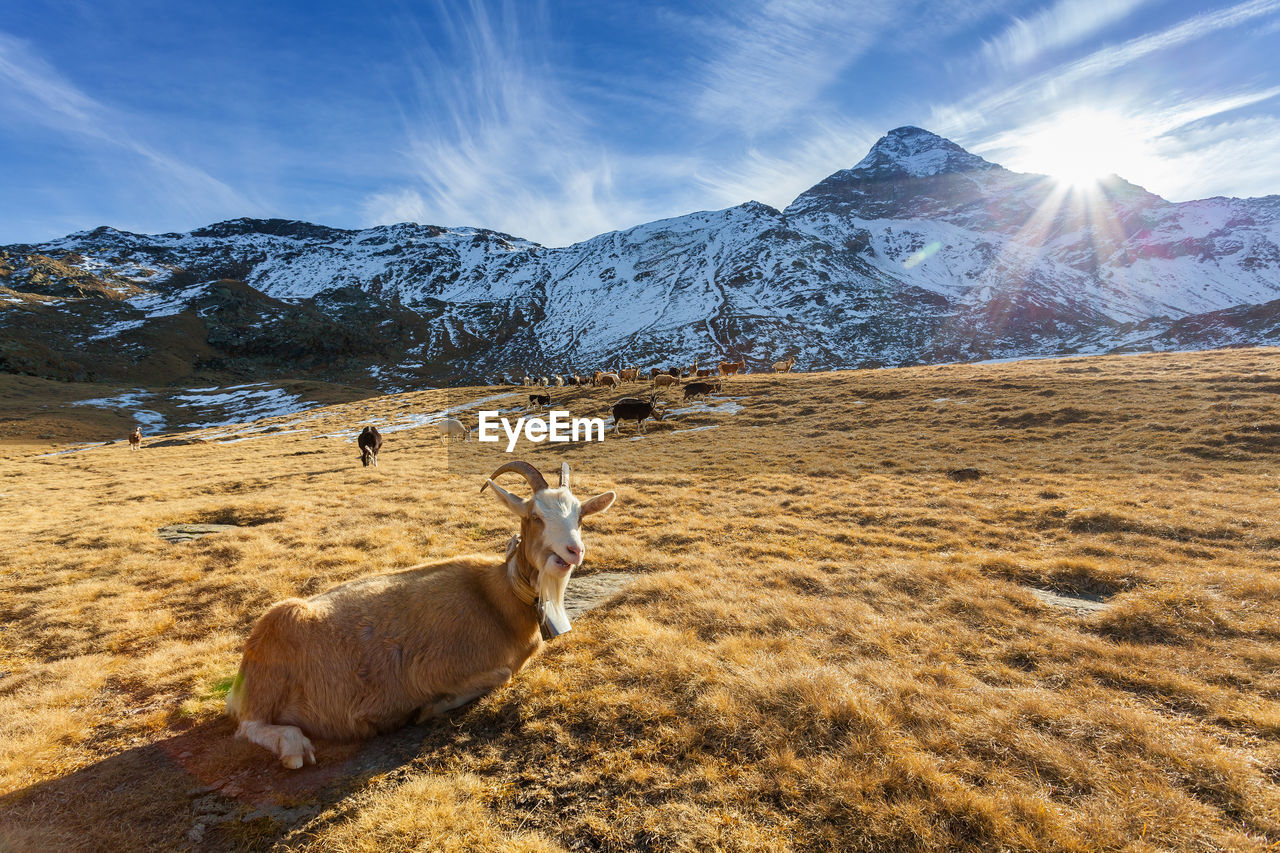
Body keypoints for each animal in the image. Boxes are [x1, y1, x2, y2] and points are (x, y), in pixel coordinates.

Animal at [227, 461, 616, 768]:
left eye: (579, 517)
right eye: (535, 517)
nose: (574, 550)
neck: (498, 597)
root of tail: (244, 671)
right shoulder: (435, 667)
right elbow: (501, 674)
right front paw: (426, 709)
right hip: (272, 666)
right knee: (248, 725)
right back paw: (294, 748)